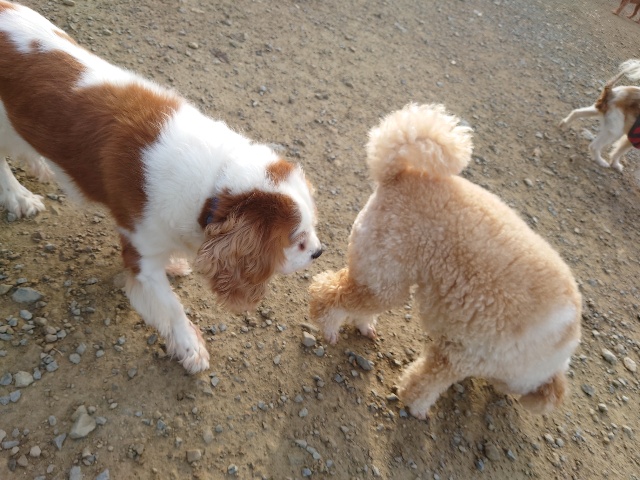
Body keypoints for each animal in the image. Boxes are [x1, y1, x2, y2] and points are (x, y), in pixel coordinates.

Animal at [0, 1, 322, 373]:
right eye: (297, 241)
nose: (319, 251)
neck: (213, 182)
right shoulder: (142, 256)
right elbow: (172, 307)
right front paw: (189, 347)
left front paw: (175, 266)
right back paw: (19, 196)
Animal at [309, 104, 582, 419]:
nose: (503, 397)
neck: (547, 352)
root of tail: (399, 172)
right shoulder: (462, 354)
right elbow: (427, 383)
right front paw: (416, 408)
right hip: (386, 273)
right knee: (328, 294)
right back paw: (329, 329)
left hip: (383, 274)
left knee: (354, 298)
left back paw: (364, 326)